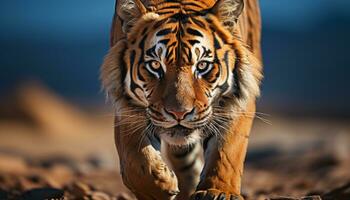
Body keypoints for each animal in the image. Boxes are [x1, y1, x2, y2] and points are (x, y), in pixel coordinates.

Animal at [100, 0, 262, 199]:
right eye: (155, 65)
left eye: (202, 65)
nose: (179, 113)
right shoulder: (126, 108)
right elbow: (135, 162)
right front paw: (160, 187)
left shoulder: (239, 101)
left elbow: (227, 153)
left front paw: (219, 191)